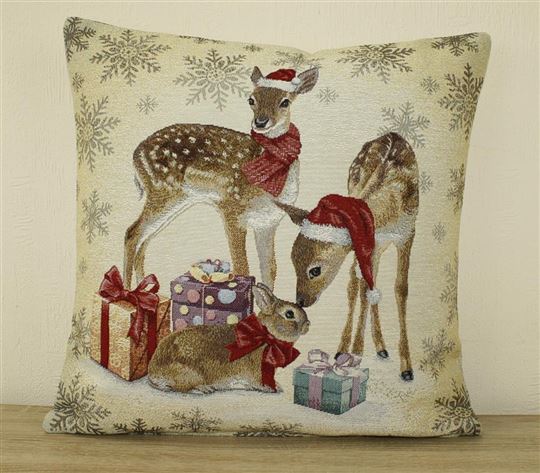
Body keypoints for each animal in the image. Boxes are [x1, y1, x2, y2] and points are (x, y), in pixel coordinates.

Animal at [124, 67, 319, 290]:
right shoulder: (231, 209)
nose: (260, 122)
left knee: (145, 238)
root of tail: (135, 155)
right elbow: (242, 266)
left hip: (175, 200)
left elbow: (270, 268)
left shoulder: (267, 221)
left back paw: (148, 289)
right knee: (132, 232)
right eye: (251, 99)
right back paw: (126, 294)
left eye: (285, 101)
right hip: (162, 190)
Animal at [278, 132, 419, 381]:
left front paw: (407, 368)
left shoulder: (407, 233)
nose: (301, 301)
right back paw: (348, 347)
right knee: (355, 283)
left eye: (315, 269)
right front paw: (355, 353)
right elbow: (362, 288)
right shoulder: (368, 241)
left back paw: (381, 348)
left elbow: (401, 289)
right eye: (292, 260)